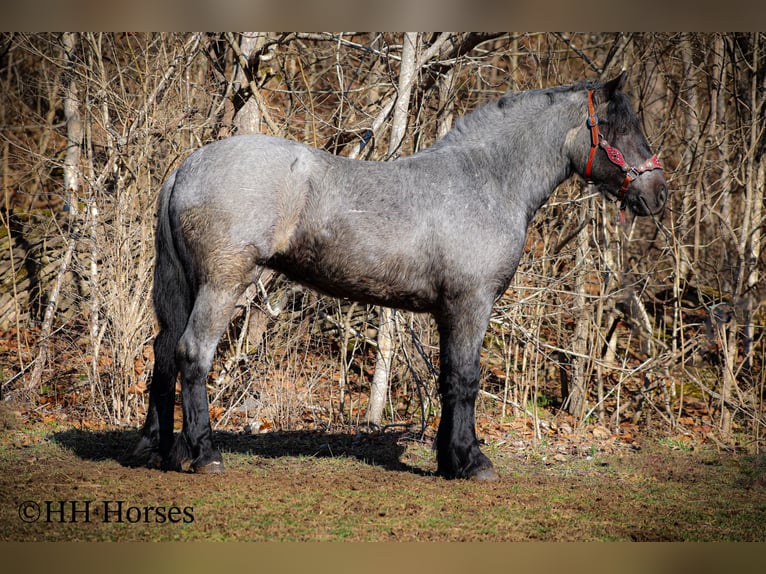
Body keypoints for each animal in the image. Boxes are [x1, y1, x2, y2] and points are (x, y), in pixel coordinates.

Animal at [136, 72, 664, 482]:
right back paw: (205, 454)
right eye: (619, 127)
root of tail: (186, 168)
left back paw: (163, 451)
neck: (487, 179)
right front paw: (473, 462)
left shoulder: (449, 311)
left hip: (184, 287)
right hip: (222, 286)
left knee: (163, 353)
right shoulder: (472, 304)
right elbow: (467, 379)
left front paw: (450, 460)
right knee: (192, 355)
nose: (657, 193)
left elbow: (449, 378)